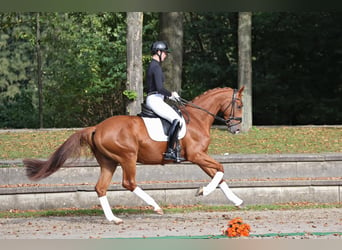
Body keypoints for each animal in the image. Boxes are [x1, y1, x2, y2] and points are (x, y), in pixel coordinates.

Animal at [22, 86, 244, 225]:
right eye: (240, 105)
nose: (236, 129)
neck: (198, 119)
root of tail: (97, 128)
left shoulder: (200, 156)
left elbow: (218, 175)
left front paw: (236, 201)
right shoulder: (196, 155)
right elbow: (221, 169)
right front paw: (203, 191)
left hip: (109, 162)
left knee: (100, 187)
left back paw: (113, 219)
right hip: (128, 157)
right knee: (129, 183)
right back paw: (155, 206)